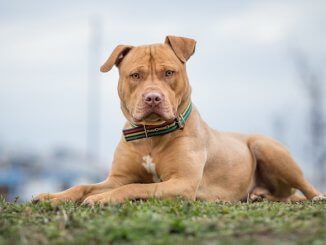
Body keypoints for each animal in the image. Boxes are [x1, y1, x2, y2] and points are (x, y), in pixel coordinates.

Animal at [34, 35, 324, 204]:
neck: (151, 135)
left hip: (267, 148)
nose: (153, 98)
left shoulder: (182, 183)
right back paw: (259, 196)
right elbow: (83, 185)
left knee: (307, 188)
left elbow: (135, 188)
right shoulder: (117, 177)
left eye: (169, 72)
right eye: (135, 75)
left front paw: (101, 199)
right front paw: (52, 196)